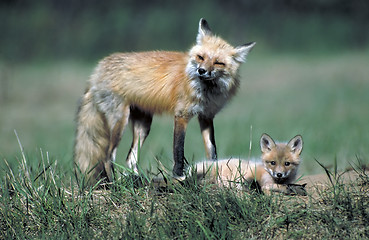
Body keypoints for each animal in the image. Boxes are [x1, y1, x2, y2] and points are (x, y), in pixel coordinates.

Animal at [73, 18, 254, 184]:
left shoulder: (206, 117)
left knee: (130, 158)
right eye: (201, 57)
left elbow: (212, 151)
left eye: (218, 62)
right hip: (120, 121)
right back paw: (114, 184)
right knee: (107, 156)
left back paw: (136, 181)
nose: (201, 71)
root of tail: (97, 71)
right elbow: (178, 151)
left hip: (143, 126)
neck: (206, 90)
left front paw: (214, 173)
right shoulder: (181, 115)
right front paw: (179, 177)